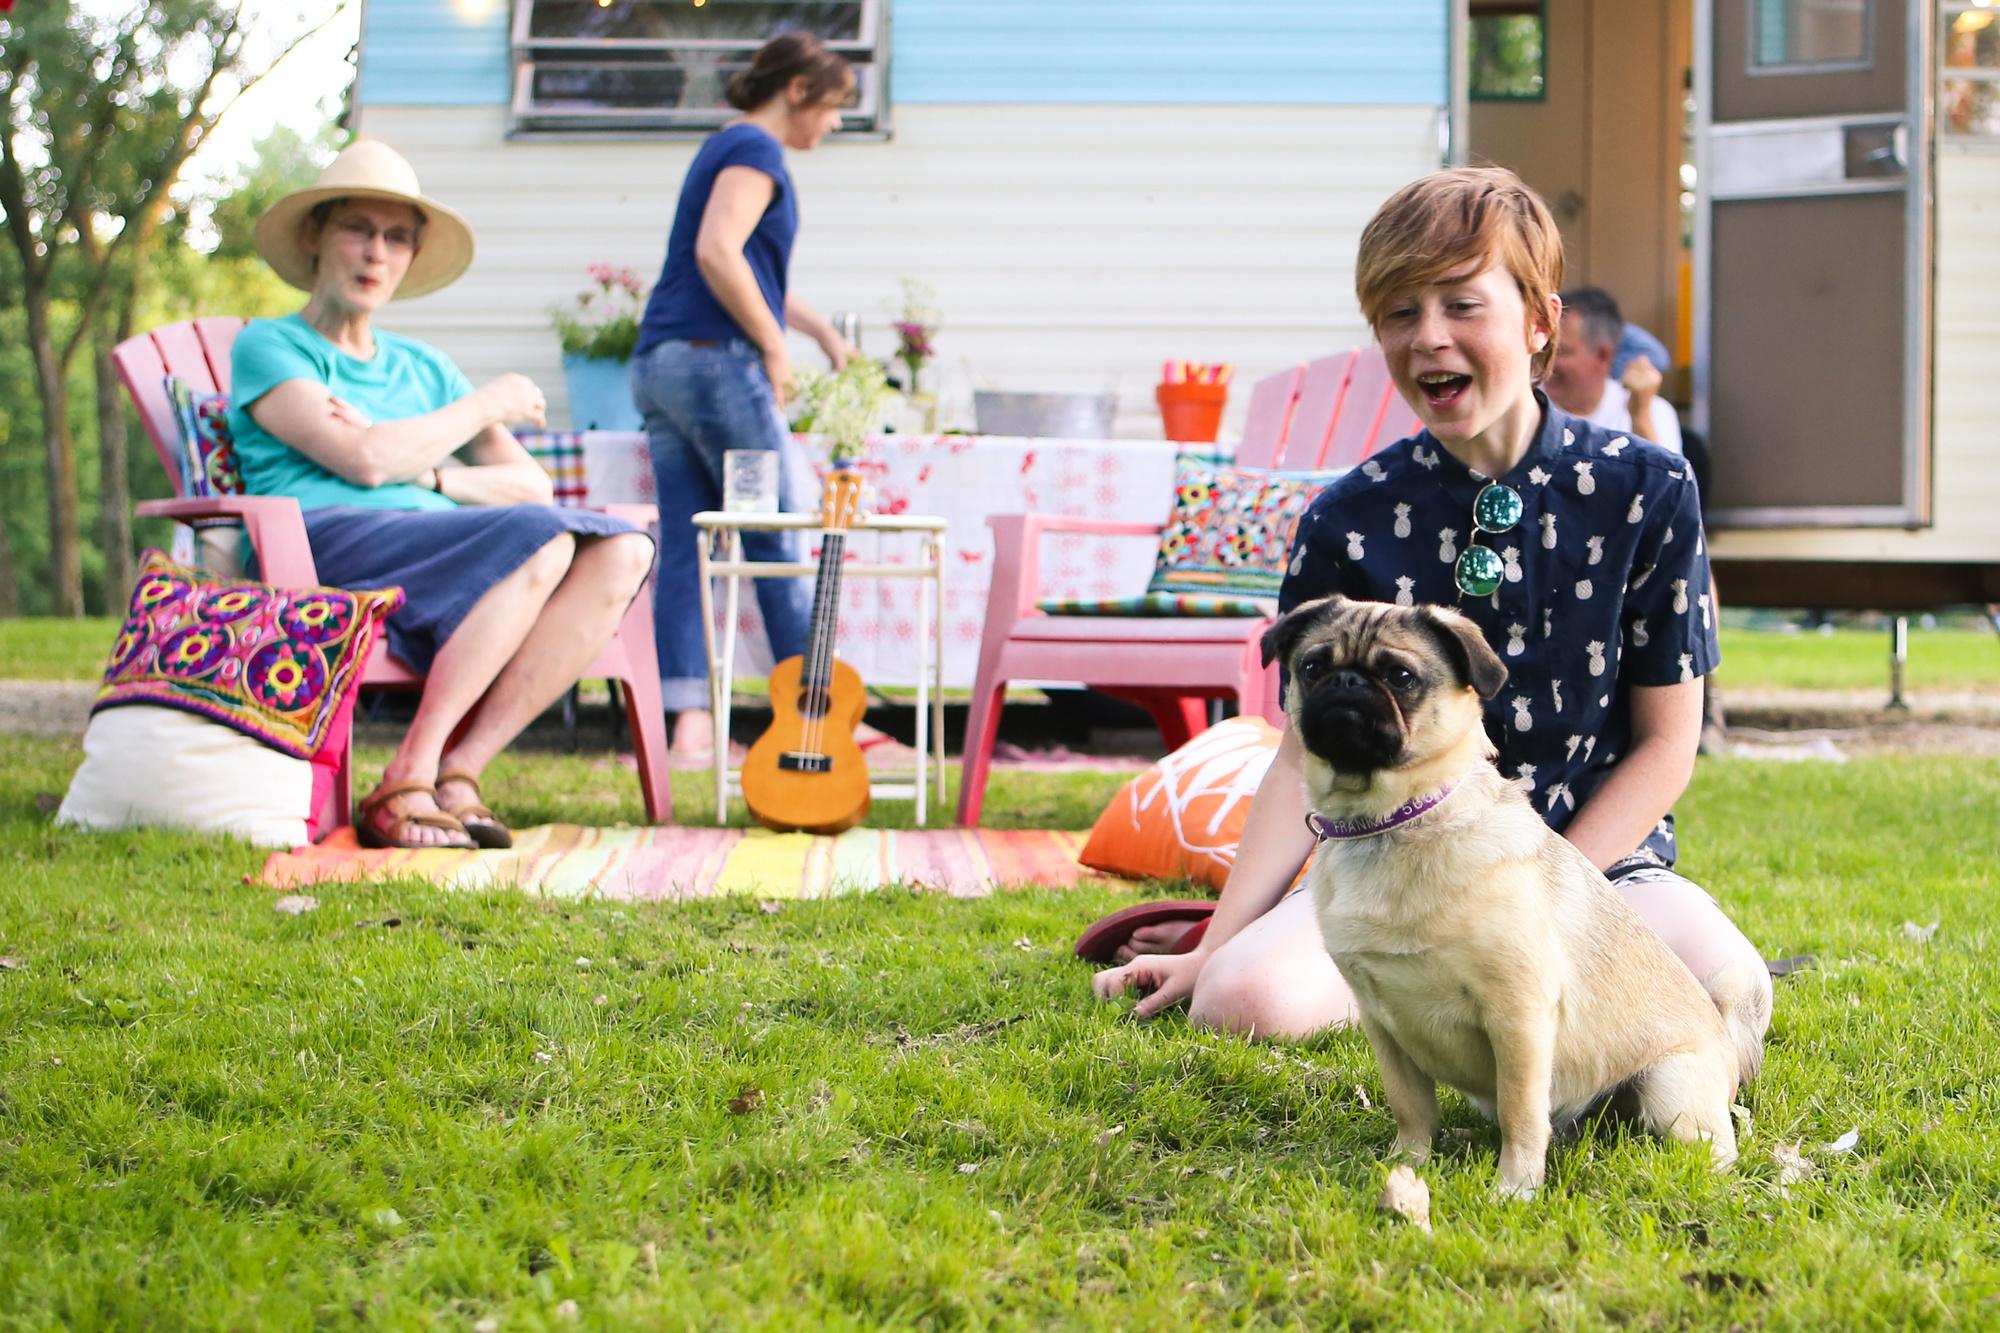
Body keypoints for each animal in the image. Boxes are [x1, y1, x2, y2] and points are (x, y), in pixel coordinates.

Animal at [1264, 592, 1752, 1192]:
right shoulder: (1384, 1026)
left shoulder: (1516, 1013)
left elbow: (1521, 1111)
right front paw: (1409, 1163)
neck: (1393, 822)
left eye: (1401, 676)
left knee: (1704, 1146)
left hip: (1669, 1087)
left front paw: (1515, 1187)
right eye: (1312, 667)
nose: (1348, 681)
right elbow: (1410, 1105)